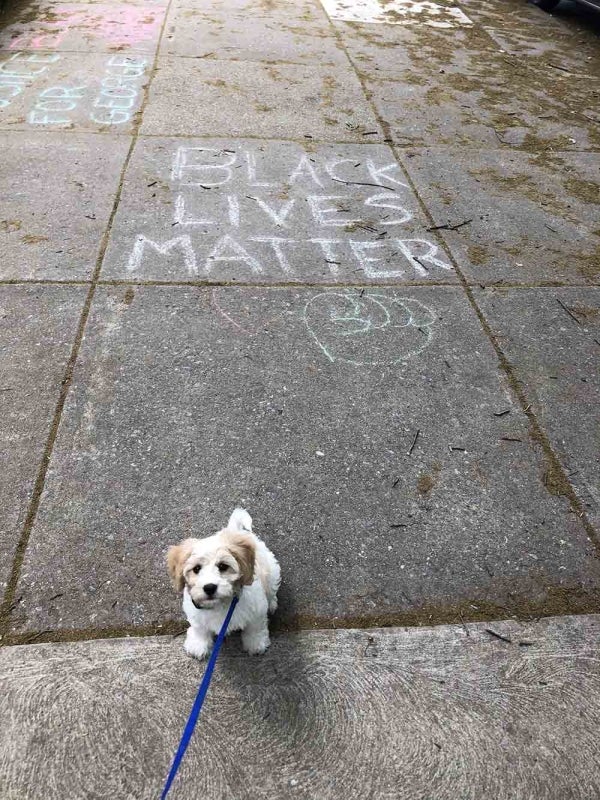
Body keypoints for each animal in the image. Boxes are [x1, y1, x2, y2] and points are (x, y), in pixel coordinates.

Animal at [166, 510, 282, 660]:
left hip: (271, 570)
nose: (209, 587)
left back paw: (272, 603)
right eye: (196, 569)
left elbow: (255, 627)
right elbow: (199, 628)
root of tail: (235, 530)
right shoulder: (195, 613)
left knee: (271, 589)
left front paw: (256, 643)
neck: (221, 604)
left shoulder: (257, 610)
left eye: (223, 566)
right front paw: (198, 644)